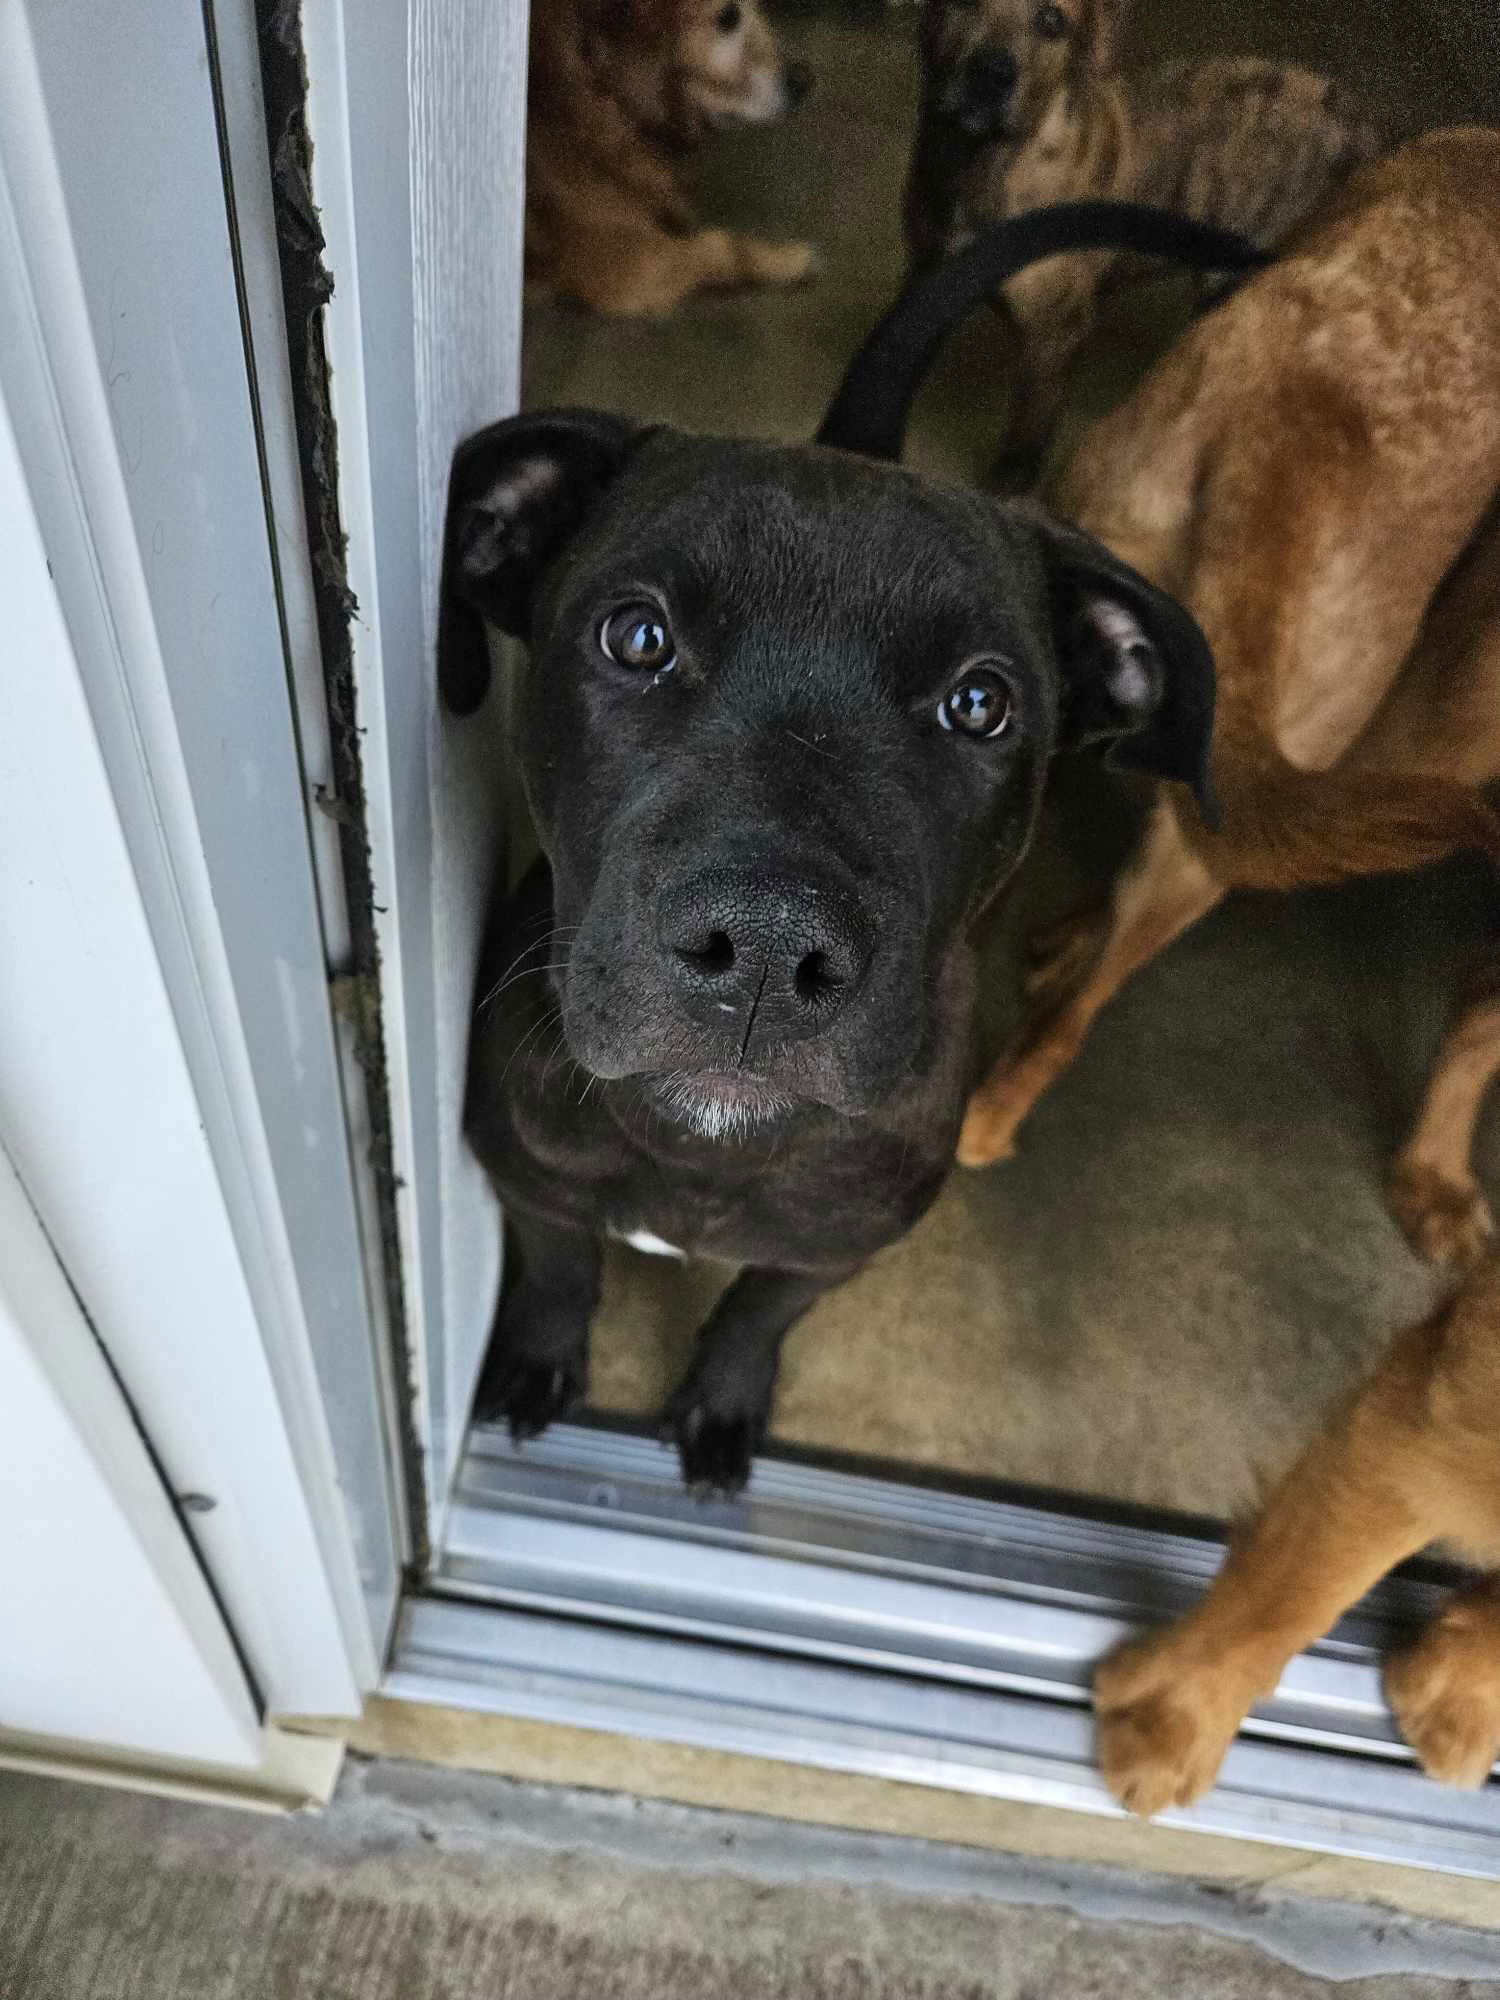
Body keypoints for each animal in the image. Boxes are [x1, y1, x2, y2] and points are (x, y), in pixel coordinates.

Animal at [450, 215, 1248, 1504]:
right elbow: (563, 1264)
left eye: (981, 704)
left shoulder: (838, 1245)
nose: (766, 949)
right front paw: (537, 1355)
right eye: (637, 635)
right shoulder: (525, 1171)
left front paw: (724, 1400)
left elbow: (756, 1310)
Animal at [904, 0, 1384, 464]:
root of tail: (1360, 126)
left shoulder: (1054, 341)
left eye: (1051, 19)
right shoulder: (926, 282)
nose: (991, 72)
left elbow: (1022, 450)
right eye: (958, 3)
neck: (979, 166)